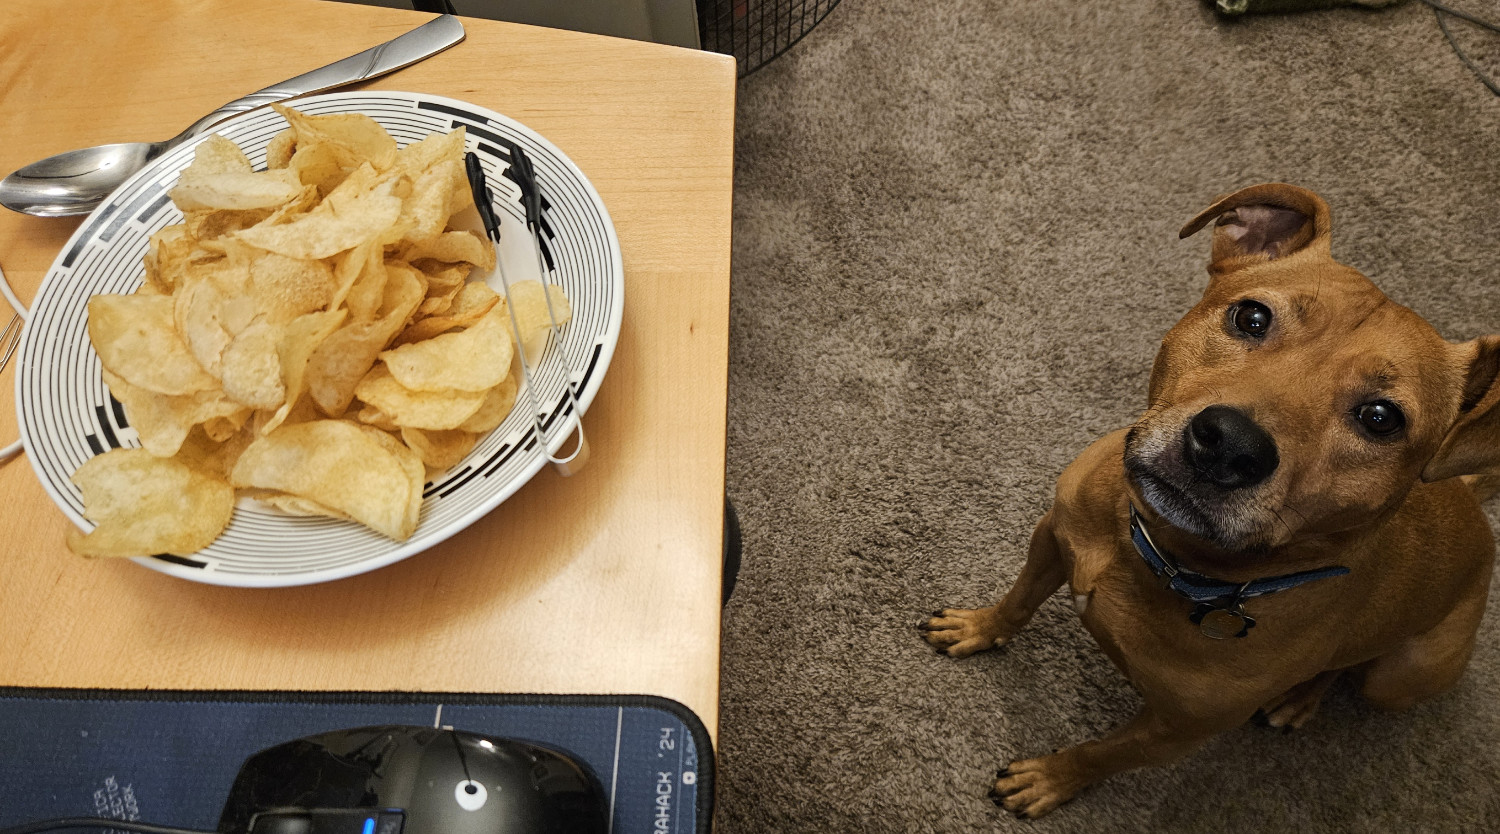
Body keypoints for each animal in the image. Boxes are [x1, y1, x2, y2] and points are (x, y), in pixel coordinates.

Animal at [918, 183, 1500, 822]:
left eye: (1380, 418)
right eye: (1251, 317)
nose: (1228, 445)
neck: (1155, 556)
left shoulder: (1174, 731)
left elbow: (1099, 754)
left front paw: (1049, 780)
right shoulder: (1052, 535)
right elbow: (1017, 602)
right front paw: (977, 628)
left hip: (1401, 676)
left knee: (1348, 667)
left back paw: (1299, 698)